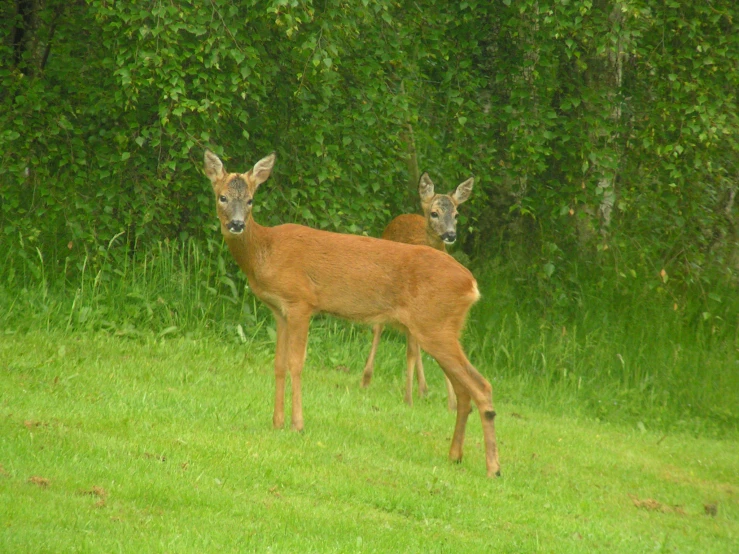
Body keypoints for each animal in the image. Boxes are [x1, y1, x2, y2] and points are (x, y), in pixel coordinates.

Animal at [362, 172, 476, 410]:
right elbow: (413, 350)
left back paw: (423, 389)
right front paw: (409, 399)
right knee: (380, 328)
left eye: (456, 214)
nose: (450, 235)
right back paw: (367, 379)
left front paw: (452, 403)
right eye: (434, 213)